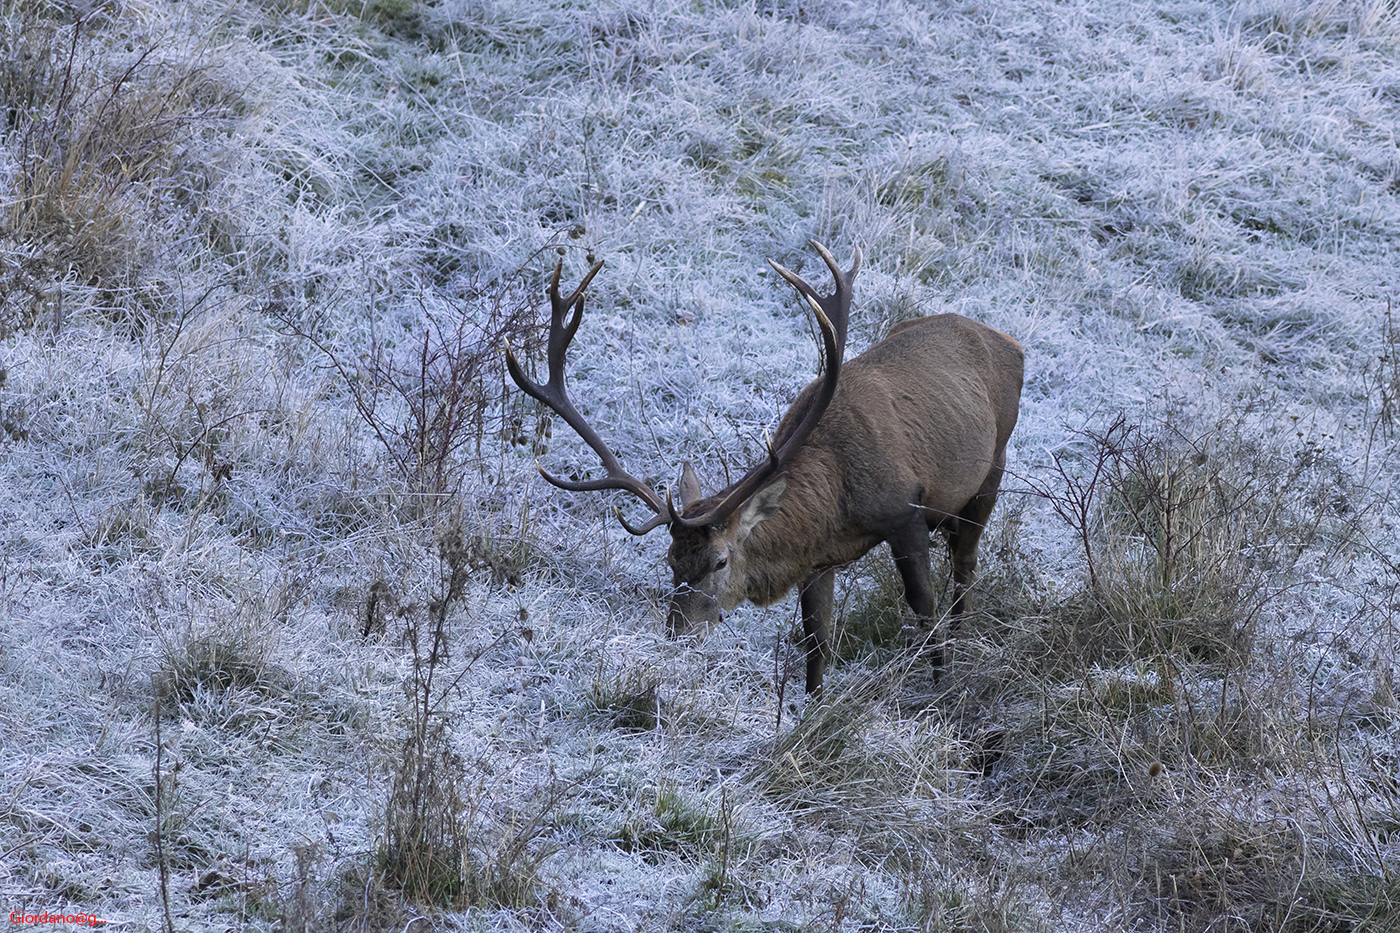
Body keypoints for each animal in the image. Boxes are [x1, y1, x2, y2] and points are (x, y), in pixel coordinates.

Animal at [506, 241, 1023, 696]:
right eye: (670, 561)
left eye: (720, 560)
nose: (677, 633)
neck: (839, 503)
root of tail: (1010, 341)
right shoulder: (817, 558)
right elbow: (816, 642)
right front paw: (811, 715)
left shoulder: (905, 513)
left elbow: (925, 611)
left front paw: (943, 688)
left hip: (993, 465)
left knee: (965, 566)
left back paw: (963, 641)